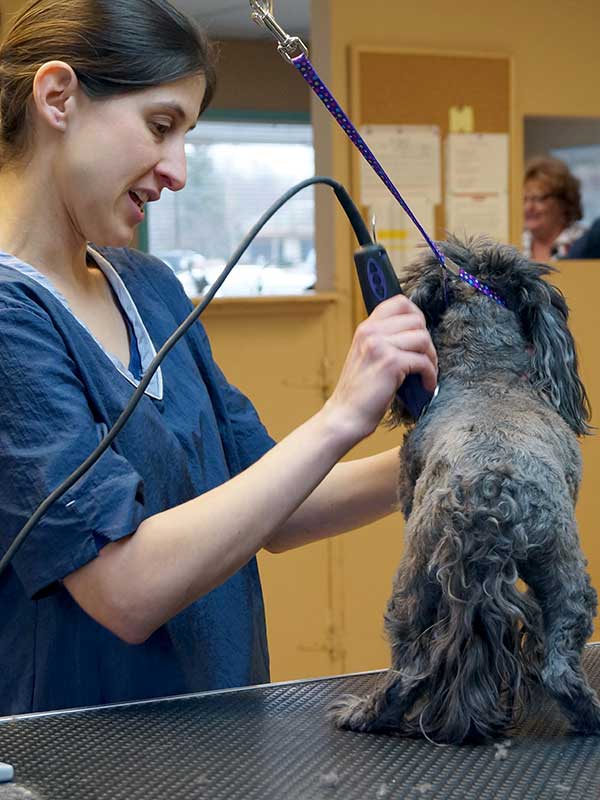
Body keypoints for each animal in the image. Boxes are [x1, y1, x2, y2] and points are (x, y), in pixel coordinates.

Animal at [332, 236, 600, 744]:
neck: (487, 373)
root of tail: (489, 497)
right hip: (562, 573)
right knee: (558, 667)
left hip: (415, 582)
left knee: (411, 669)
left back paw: (367, 714)